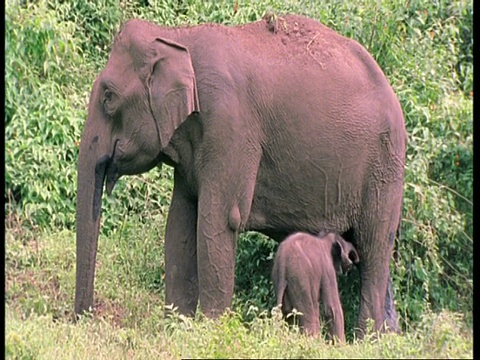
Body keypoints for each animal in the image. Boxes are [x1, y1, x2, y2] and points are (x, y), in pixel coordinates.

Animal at [74, 13, 404, 334]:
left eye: (108, 97)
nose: (84, 318)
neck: (178, 36)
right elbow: (180, 222)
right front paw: (176, 328)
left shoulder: (230, 126)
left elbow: (219, 220)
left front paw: (211, 330)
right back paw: (388, 337)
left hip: (384, 169)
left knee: (374, 248)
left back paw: (368, 339)